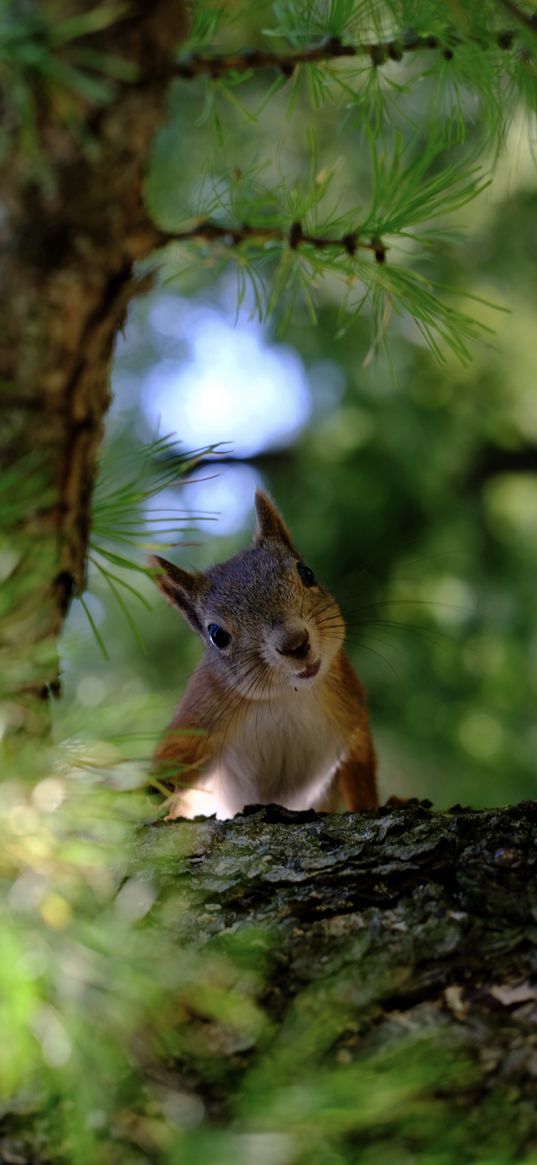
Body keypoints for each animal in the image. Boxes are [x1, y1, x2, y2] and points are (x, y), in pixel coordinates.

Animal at [149, 491, 377, 820]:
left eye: (307, 573)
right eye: (217, 634)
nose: (295, 643)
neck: (287, 696)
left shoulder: (350, 707)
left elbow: (360, 770)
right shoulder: (201, 713)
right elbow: (170, 763)